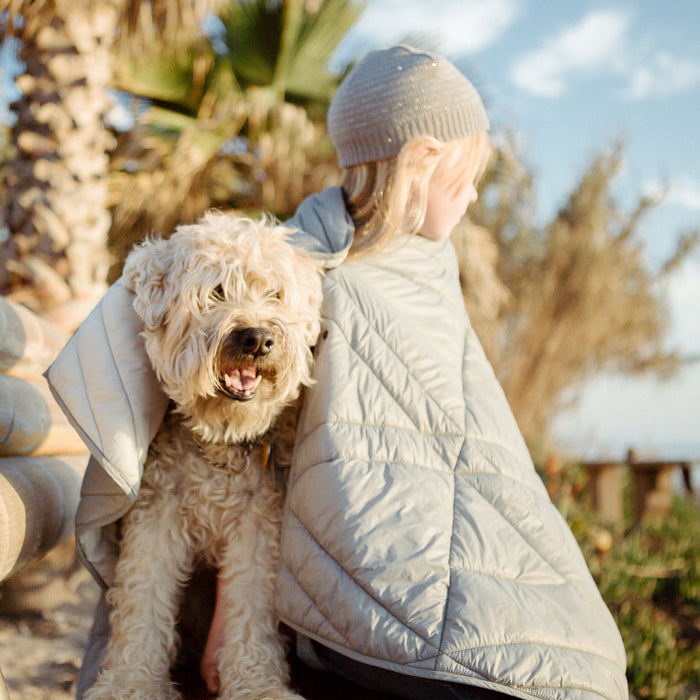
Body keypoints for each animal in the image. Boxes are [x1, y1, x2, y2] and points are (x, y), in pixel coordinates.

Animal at [85, 213, 322, 700]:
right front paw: (130, 682)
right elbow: (141, 598)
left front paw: (256, 684)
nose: (257, 338)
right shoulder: (156, 513)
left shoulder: (258, 524)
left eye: (274, 293)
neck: (219, 441)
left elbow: (250, 610)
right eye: (216, 291)